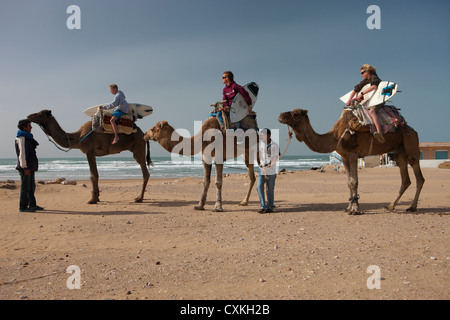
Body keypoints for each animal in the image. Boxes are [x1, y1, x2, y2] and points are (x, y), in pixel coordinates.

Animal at [278, 108, 426, 215]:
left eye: (295, 113)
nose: (280, 115)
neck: (336, 136)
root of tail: (413, 130)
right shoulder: (344, 156)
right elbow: (349, 182)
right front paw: (349, 207)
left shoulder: (353, 154)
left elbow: (354, 181)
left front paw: (355, 209)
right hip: (398, 151)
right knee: (405, 178)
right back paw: (390, 206)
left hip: (411, 144)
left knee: (418, 175)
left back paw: (412, 207)